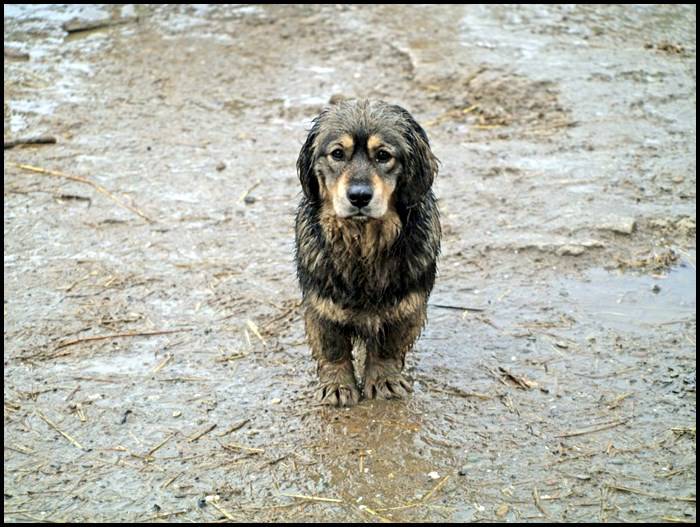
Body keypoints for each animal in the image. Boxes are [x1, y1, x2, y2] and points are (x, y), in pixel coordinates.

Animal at [294, 99, 438, 406]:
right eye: (337, 154)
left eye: (383, 155)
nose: (359, 196)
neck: (362, 245)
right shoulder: (322, 303)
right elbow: (333, 347)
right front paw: (337, 386)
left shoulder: (406, 304)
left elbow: (388, 346)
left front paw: (384, 379)